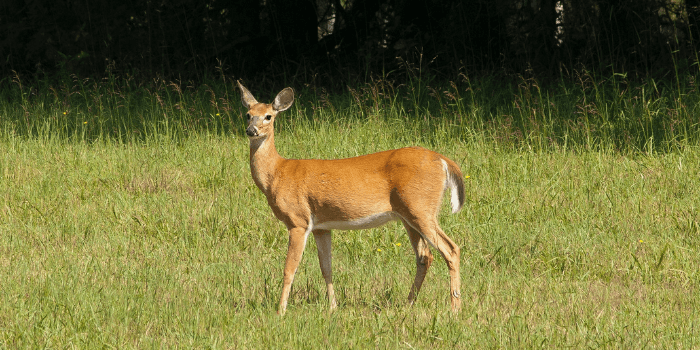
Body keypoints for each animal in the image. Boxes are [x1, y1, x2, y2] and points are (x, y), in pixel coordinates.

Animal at [239, 81, 464, 314]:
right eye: (248, 114)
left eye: (268, 116)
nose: (251, 130)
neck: (277, 173)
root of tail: (443, 160)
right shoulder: (321, 226)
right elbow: (326, 267)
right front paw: (333, 307)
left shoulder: (298, 220)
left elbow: (289, 268)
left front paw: (280, 311)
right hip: (408, 215)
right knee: (424, 256)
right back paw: (409, 303)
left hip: (421, 208)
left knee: (451, 249)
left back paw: (455, 308)